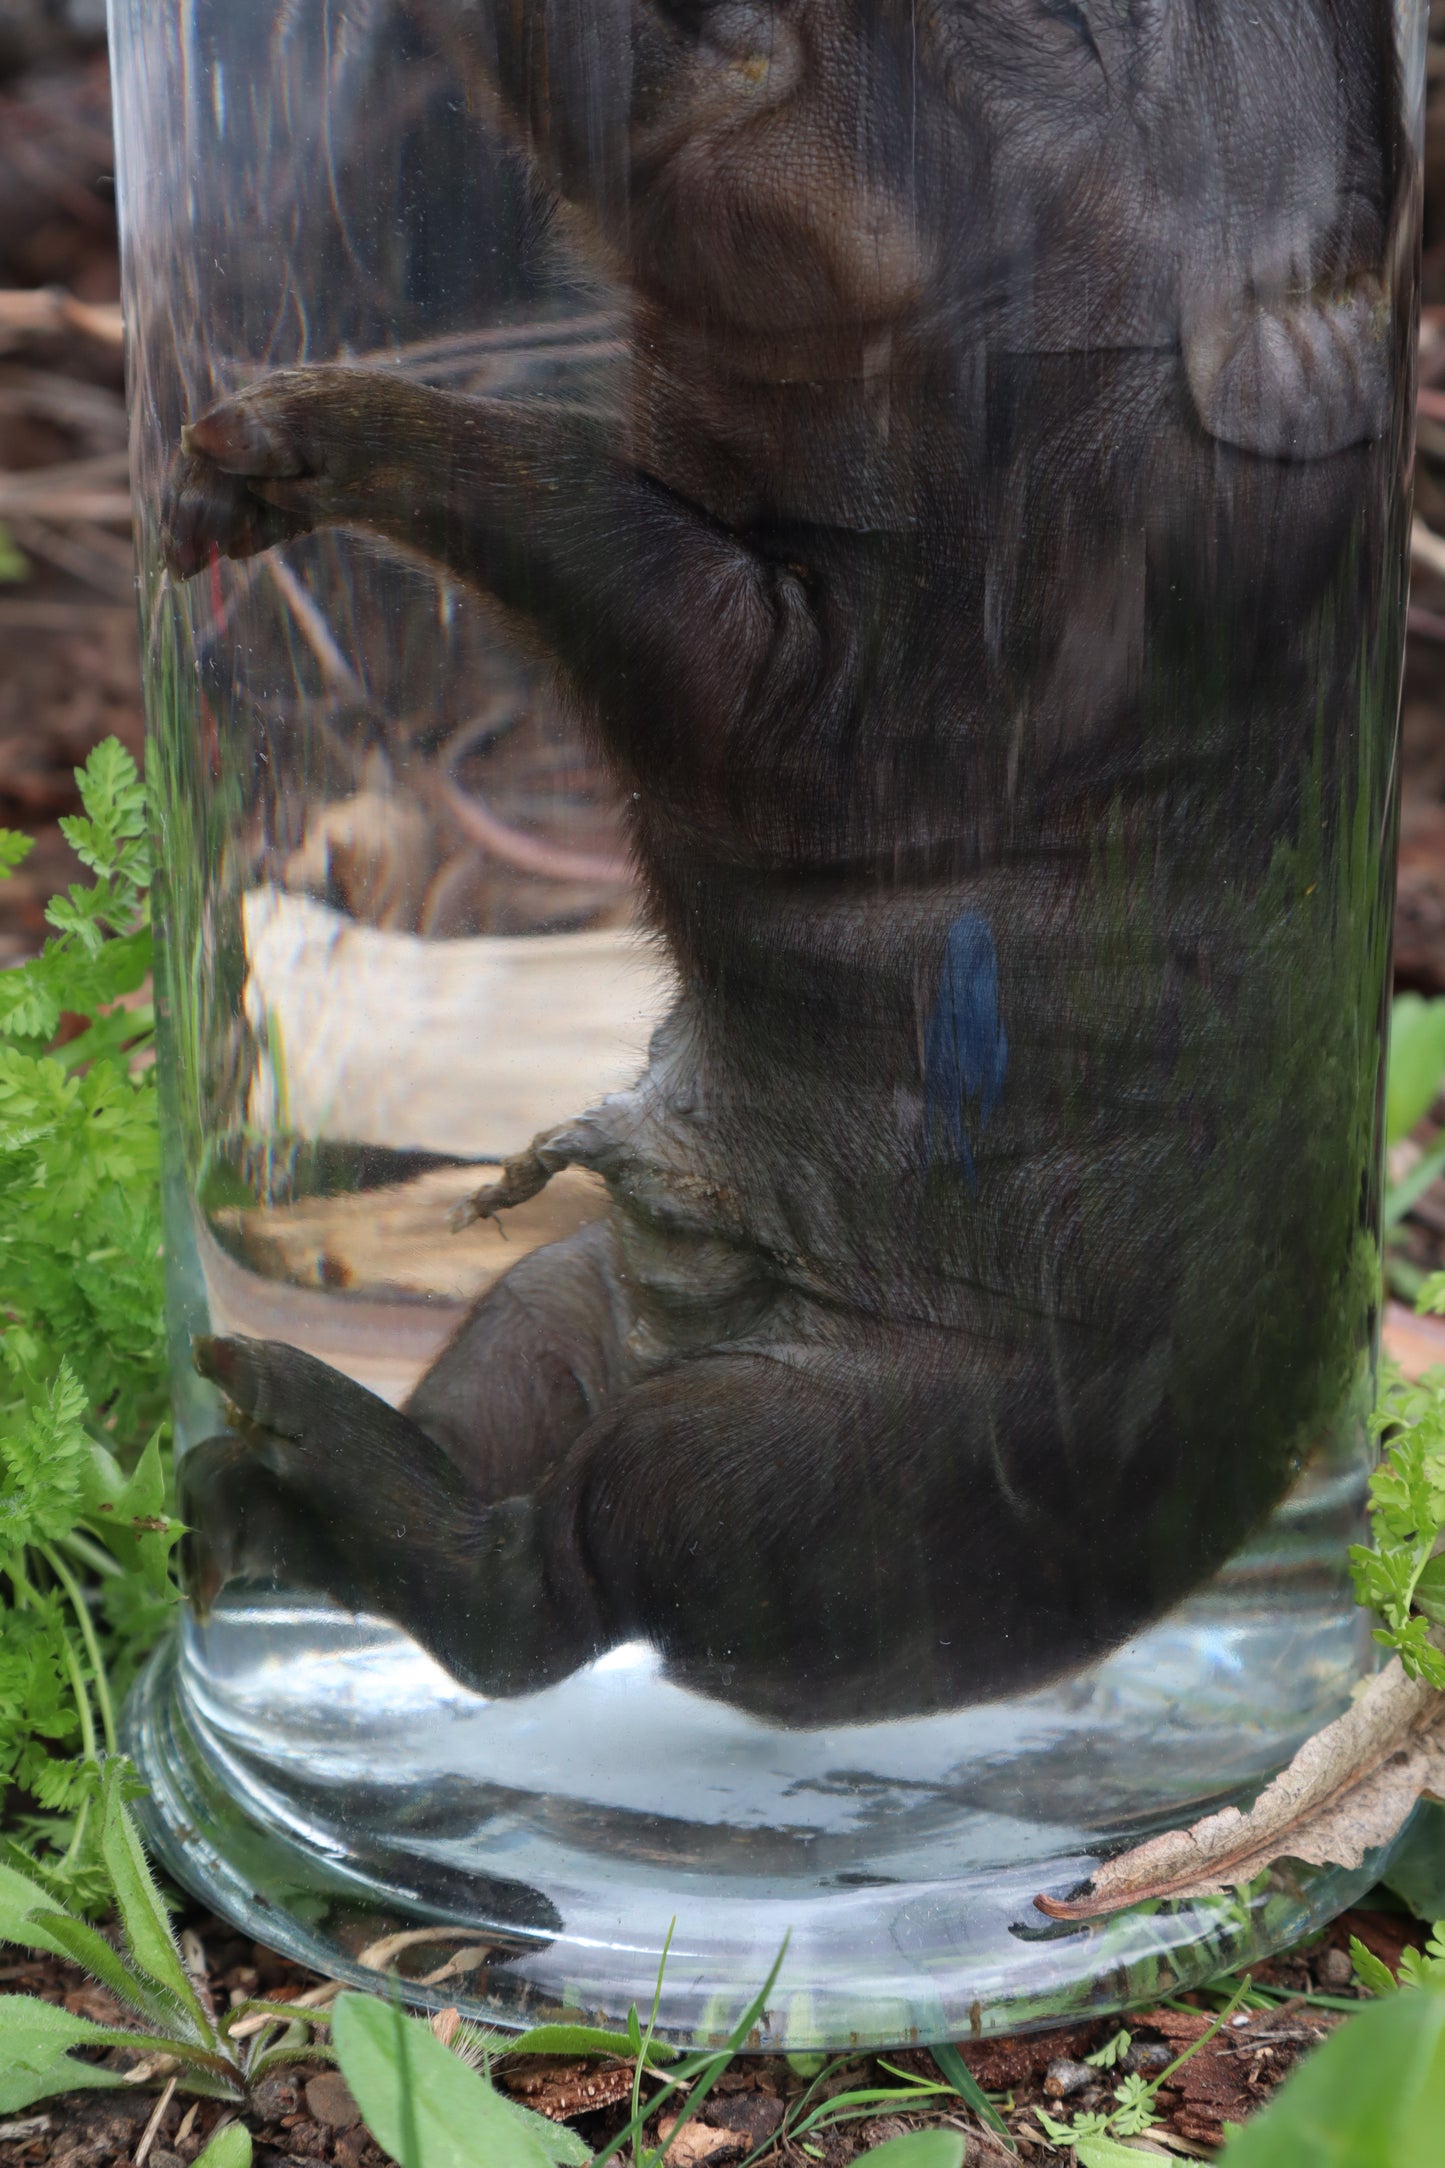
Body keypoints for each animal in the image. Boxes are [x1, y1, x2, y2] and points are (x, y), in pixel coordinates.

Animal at [163, 0, 1409, 1722]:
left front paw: (263, 443)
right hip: (552, 1301)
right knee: (494, 1419)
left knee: (540, 1594)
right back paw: (229, 1496)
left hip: (803, 1460)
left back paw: (276, 1412)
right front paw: (196, 502)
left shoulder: (910, 672)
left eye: (1052, 25)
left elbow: (633, 570)